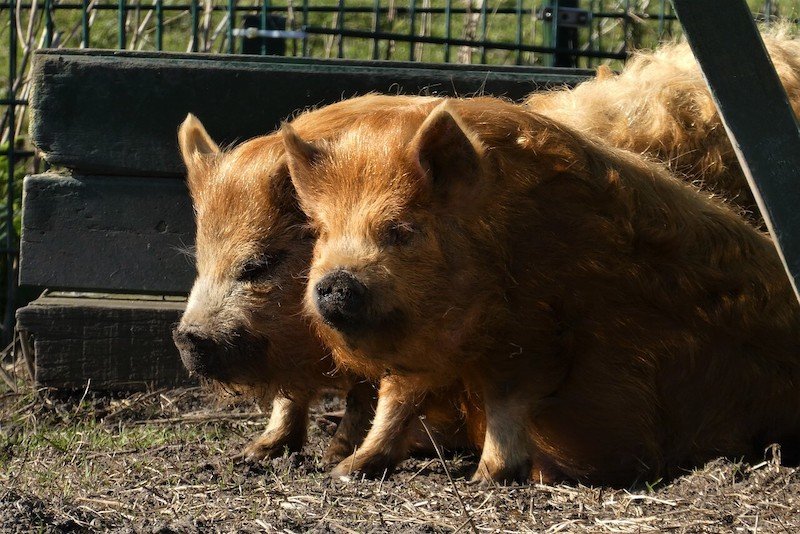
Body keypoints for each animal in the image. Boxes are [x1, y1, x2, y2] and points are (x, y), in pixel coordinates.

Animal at [284, 94, 800, 488]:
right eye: (323, 233)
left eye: (401, 231)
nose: (335, 284)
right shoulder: (425, 352)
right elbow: (395, 402)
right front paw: (343, 472)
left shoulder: (534, 335)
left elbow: (507, 401)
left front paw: (488, 480)